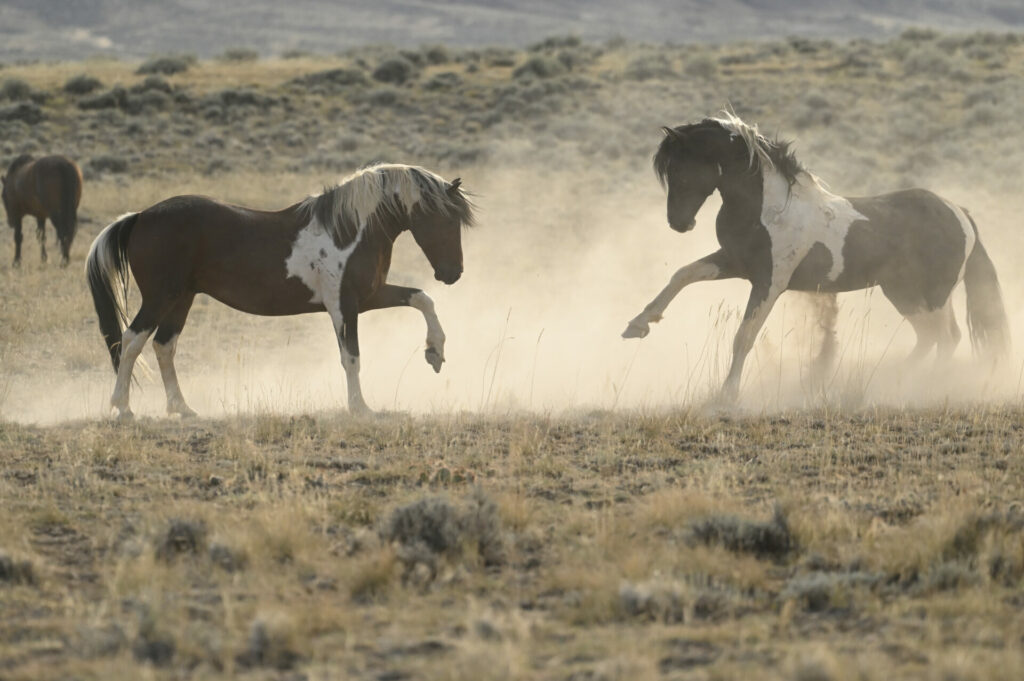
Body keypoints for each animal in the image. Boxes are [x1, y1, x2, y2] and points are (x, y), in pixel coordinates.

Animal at [86, 165, 473, 419]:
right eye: (445, 219)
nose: (453, 273)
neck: (349, 230)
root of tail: (139, 216)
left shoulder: (370, 296)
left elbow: (422, 298)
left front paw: (435, 353)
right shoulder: (343, 306)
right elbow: (351, 357)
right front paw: (361, 408)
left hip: (182, 298)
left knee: (163, 346)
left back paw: (183, 409)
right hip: (161, 298)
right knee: (131, 340)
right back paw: (123, 408)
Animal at [622, 111, 1007, 399]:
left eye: (681, 168)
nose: (679, 223)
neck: (767, 208)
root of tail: (960, 213)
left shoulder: (770, 282)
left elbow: (744, 335)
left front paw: (726, 395)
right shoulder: (734, 261)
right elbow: (682, 274)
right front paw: (637, 325)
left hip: (932, 294)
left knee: (946, 338)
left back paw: (917, 386)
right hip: (905, 293)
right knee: (931, 337)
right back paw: (884, 382)